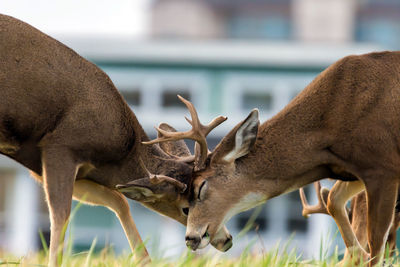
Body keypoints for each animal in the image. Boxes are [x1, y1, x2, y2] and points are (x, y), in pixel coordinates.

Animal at [0, 13, 231, 266]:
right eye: (186, 208)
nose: (226, 240)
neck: (120, 151)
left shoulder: (59, 169)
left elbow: (118, 201)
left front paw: (144, 260)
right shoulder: (60, 147)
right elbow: (60, 215)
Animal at [146, 51, 400, 266]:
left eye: (200, 187)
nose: (190, 237)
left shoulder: (383, 166)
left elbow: (376, 241)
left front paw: (367, 256)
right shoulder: (353, 170)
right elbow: (332, 200)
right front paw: (357, 255)